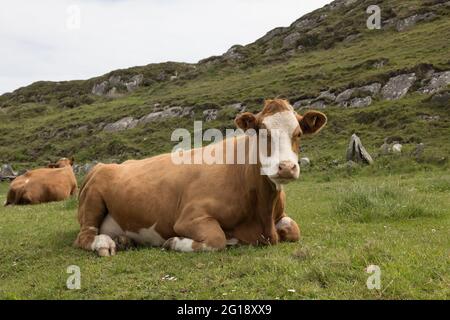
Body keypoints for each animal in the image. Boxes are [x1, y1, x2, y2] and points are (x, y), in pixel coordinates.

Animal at [75, 99, 326, 256]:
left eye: (298, 134)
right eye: (262, 131)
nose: (286, 167)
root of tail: (103, 166)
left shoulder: (279, 216)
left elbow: (294, 230)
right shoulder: (190, 217)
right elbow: (217, 239)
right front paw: (174, 242)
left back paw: (124, 240)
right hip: (92, 201)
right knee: (84, 236)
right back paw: (105, 244)